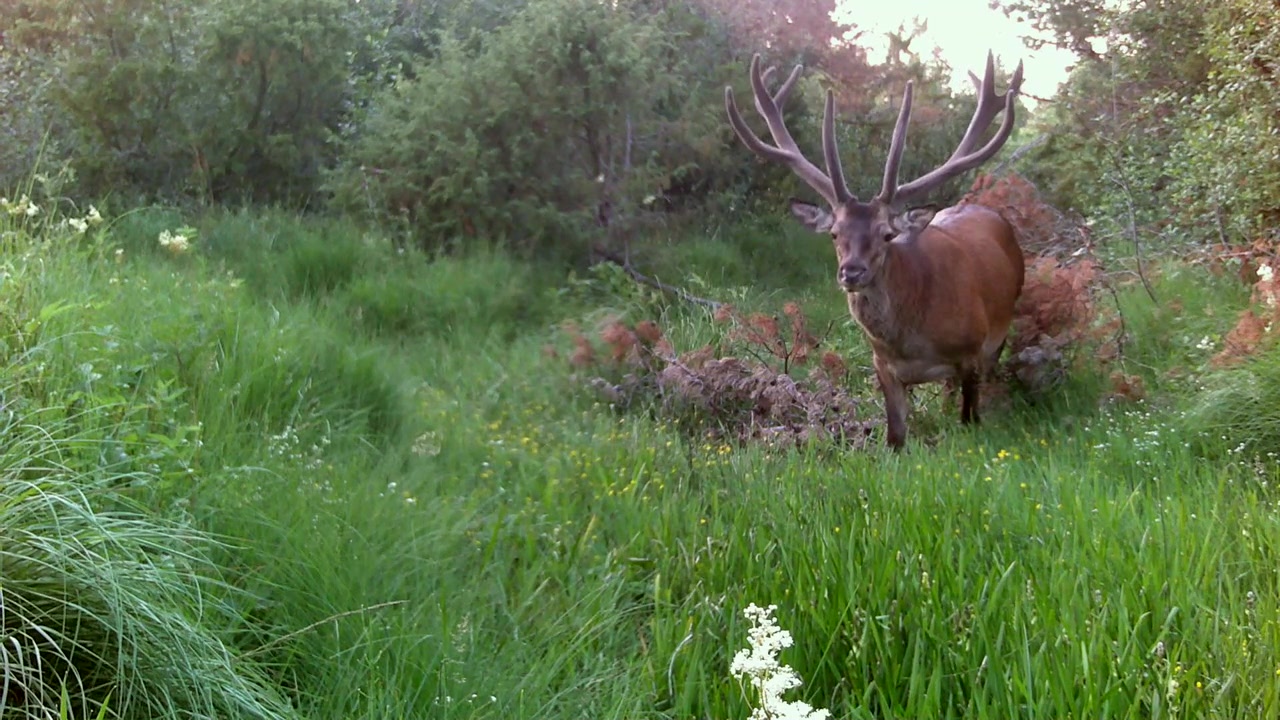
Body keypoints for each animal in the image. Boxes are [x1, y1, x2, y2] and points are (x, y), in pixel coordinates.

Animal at [725, 52, 1026, 450]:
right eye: (834, 233)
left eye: (886, 234)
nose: (852, 272)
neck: (913, 340)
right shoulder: (883, 365)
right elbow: (895, 436)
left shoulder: (973, 350)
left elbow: (969, 421)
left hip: (1001, 330)